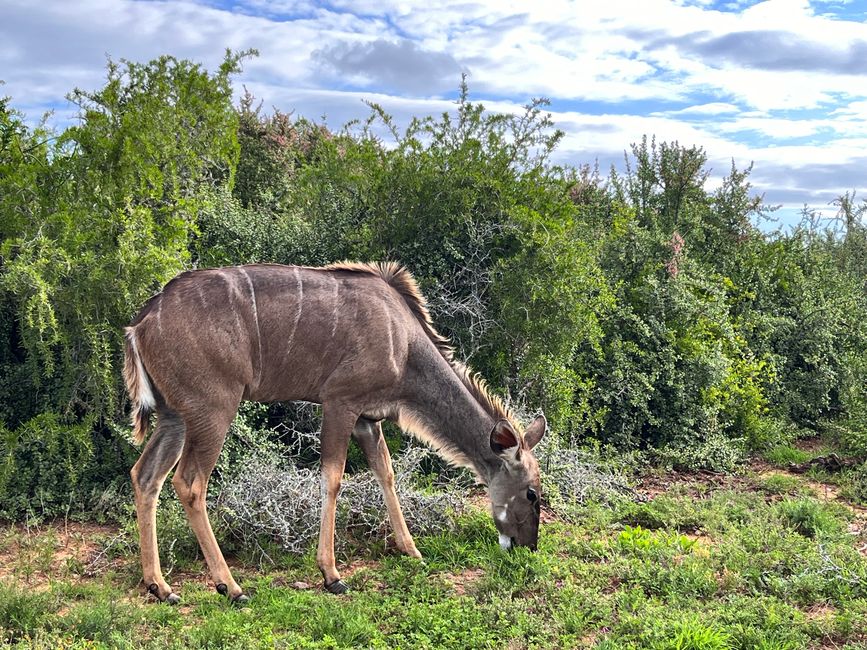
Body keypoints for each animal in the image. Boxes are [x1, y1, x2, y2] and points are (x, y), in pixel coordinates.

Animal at [124, 260, 544, 604]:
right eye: (532, 493)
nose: (528, 546)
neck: (403, 341)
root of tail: (140, 324)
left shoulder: (367, 418)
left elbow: (385, 473)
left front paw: (411, 550)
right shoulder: (340, 402)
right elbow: (334, 476)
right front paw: (332, 575)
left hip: (175, 416)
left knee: (146, 475)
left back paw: (160, 586)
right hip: (212, 410)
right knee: (189, 482)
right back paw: (231, 586)